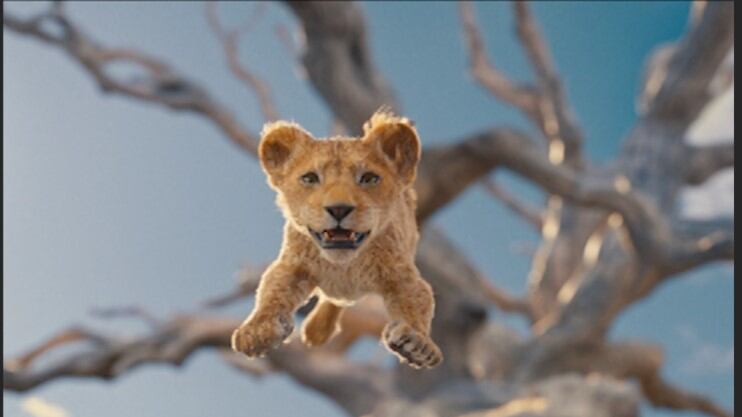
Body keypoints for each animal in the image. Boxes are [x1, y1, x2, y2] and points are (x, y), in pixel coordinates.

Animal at [230, 110, 442, 369]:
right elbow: (271, 292)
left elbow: (417, 302)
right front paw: (257, 331)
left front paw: (418, 344)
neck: (343, 266)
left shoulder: (402, 275)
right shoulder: (293, 266)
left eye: (369, 178)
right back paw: (316, 331)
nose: (339, 209)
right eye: (310, 178)